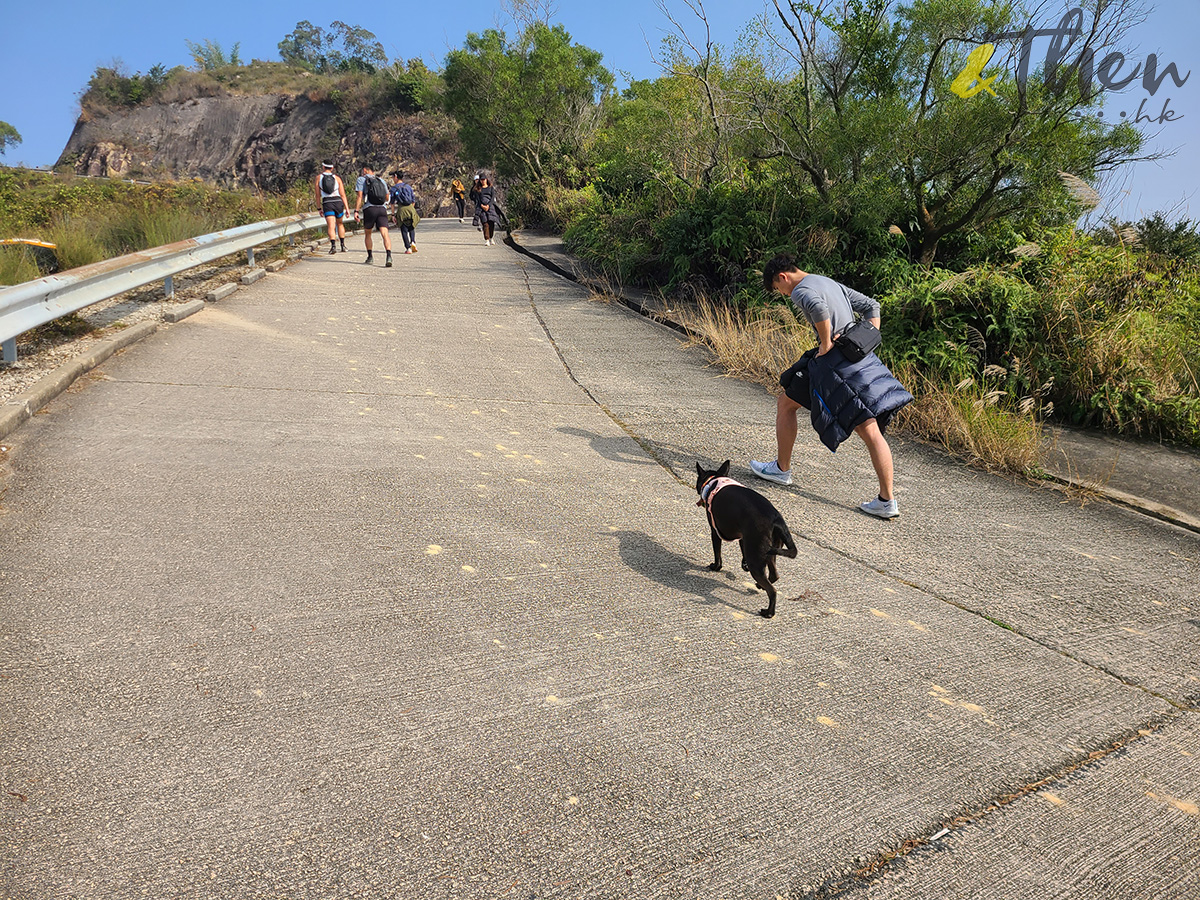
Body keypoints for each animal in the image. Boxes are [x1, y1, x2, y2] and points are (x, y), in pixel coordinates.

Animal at [696, 460, 796, 619]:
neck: (713, 480)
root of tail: (776, 519)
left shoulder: (715, 532)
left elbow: (717, 554)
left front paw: (715, 567)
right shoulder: (744, 538)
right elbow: (742, 552)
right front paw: (744, 565)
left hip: (756, 557)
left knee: (772, 591)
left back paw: (768, 612)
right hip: (769, 551)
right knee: (774, 575)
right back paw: (759, 586)